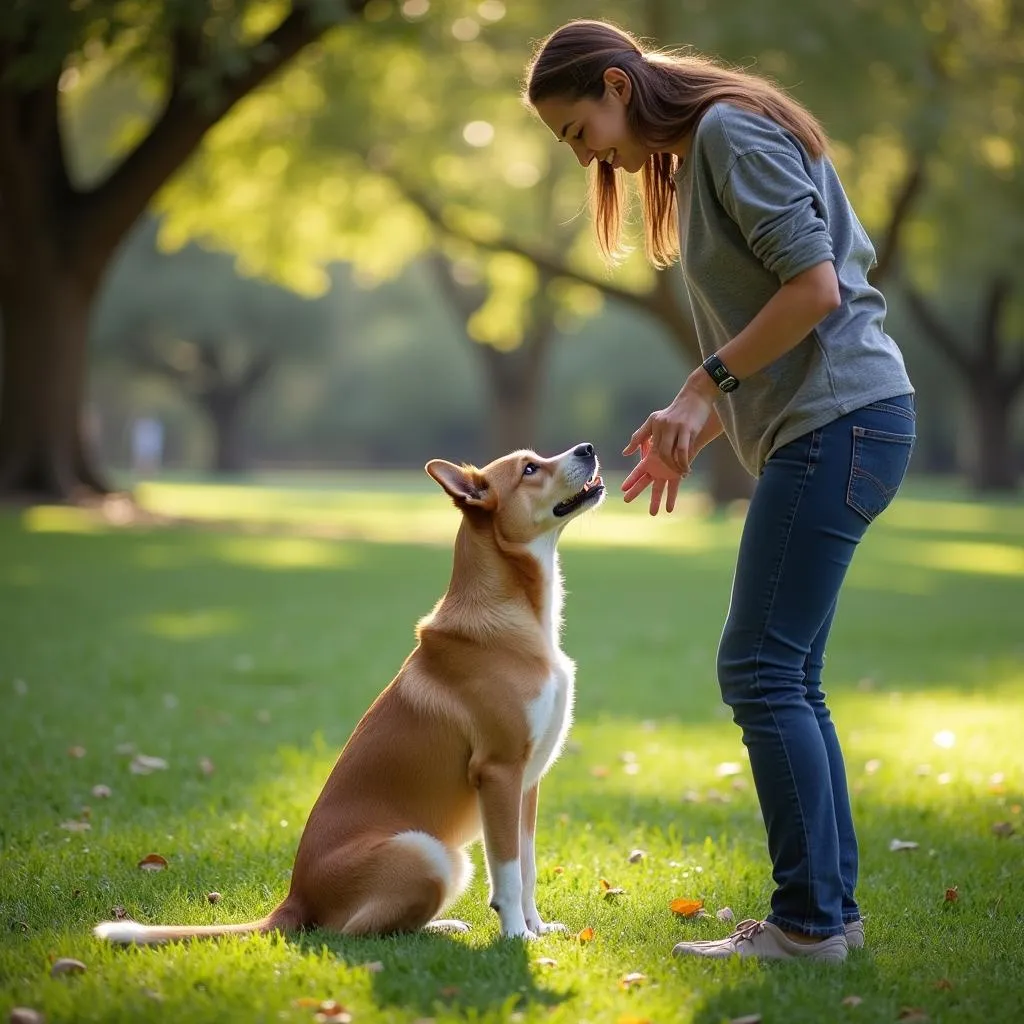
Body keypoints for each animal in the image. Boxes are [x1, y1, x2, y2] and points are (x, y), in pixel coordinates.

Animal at [92, 444, 602, 937]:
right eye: (529, 468)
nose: (588, 448)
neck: (518, 622)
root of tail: (295, 899)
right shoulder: (498, 773)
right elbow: (509, 874)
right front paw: (517, 937)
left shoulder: (526, 784)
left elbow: (529, 868)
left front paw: (538, 928)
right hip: (428, 853)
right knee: (350, 933)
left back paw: (446, 923)